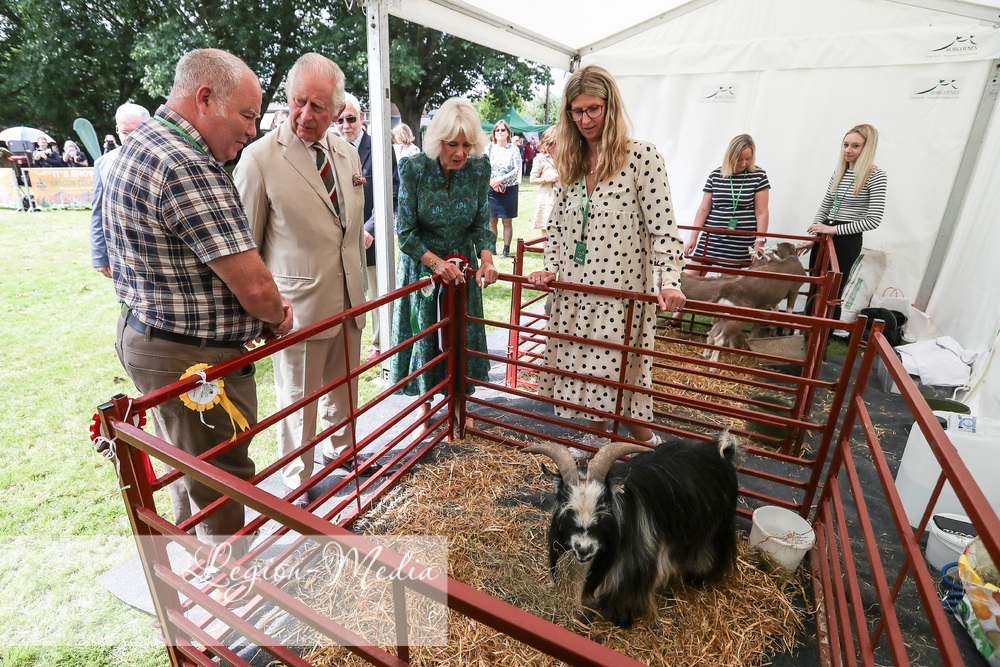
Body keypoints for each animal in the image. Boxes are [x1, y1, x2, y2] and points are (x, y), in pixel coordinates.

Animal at [528, 436, 740, 628]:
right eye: (568, 509)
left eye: (603, 506)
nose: (584, 549)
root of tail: (720, 450)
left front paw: (622, 620)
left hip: (717, 530)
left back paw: (698, 579)